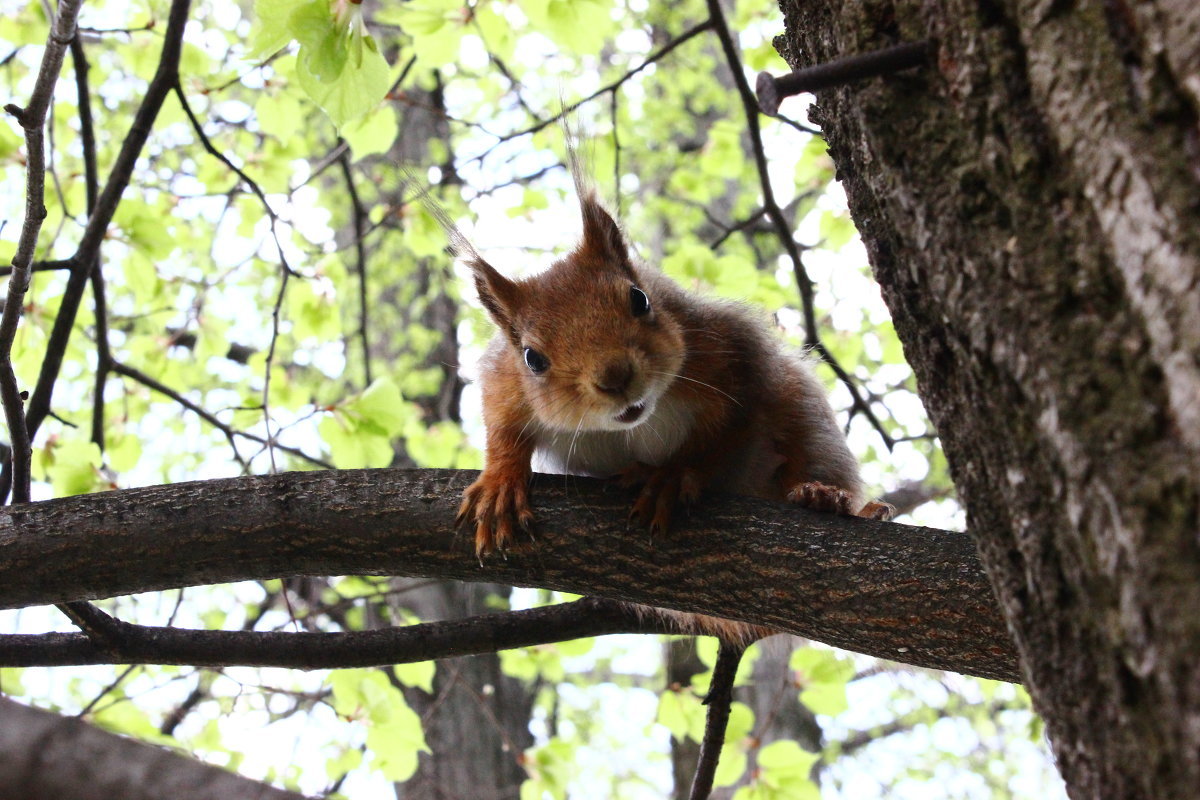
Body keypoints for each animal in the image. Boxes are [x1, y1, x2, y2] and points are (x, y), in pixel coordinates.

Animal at [451, 165, 892, 642]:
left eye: (640, 299)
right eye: (532, 358)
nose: (615, 377)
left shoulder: (728, 346)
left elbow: (729, 425)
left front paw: (672, 474)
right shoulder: (504, 382)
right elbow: (502, 427)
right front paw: (500, 482)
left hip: (803, 414)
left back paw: (824, 496)